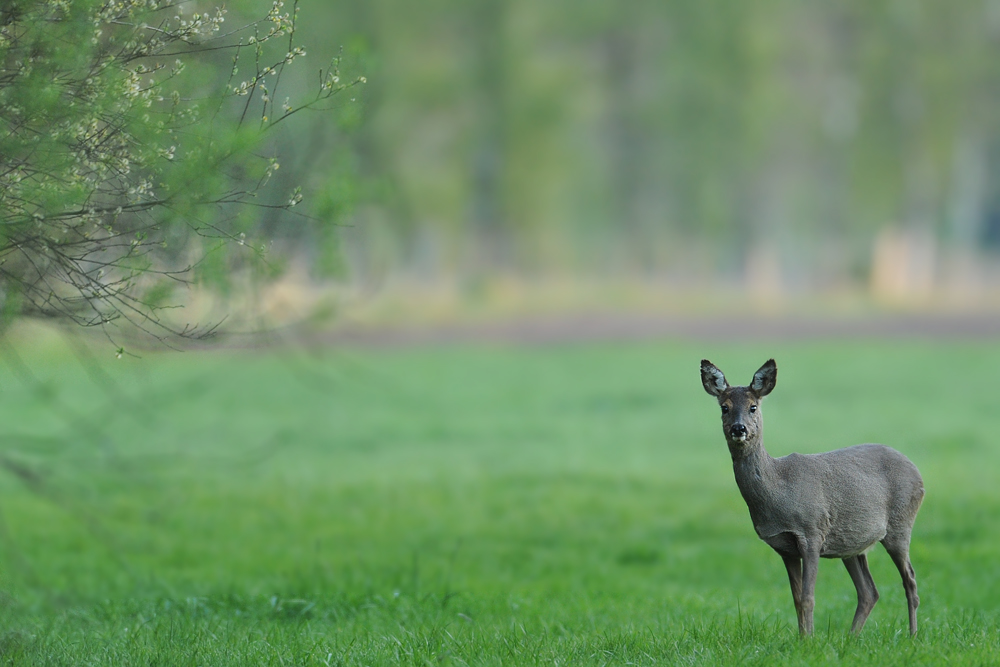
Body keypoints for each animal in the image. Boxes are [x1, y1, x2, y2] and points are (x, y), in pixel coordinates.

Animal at [700, 360, 924, 636]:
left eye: (753, 407)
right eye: (725, 407)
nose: (738, 428)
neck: (778, 489)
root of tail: (918, 473)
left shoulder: (811, 531)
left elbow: (808, 597)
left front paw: (809, 639)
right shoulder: (784, 547)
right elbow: (796, 598)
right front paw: (802, 638)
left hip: (901, 524)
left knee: (910, 581)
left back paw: (912, 636)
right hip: (852, 544)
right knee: (869, 591)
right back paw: (851, 638)